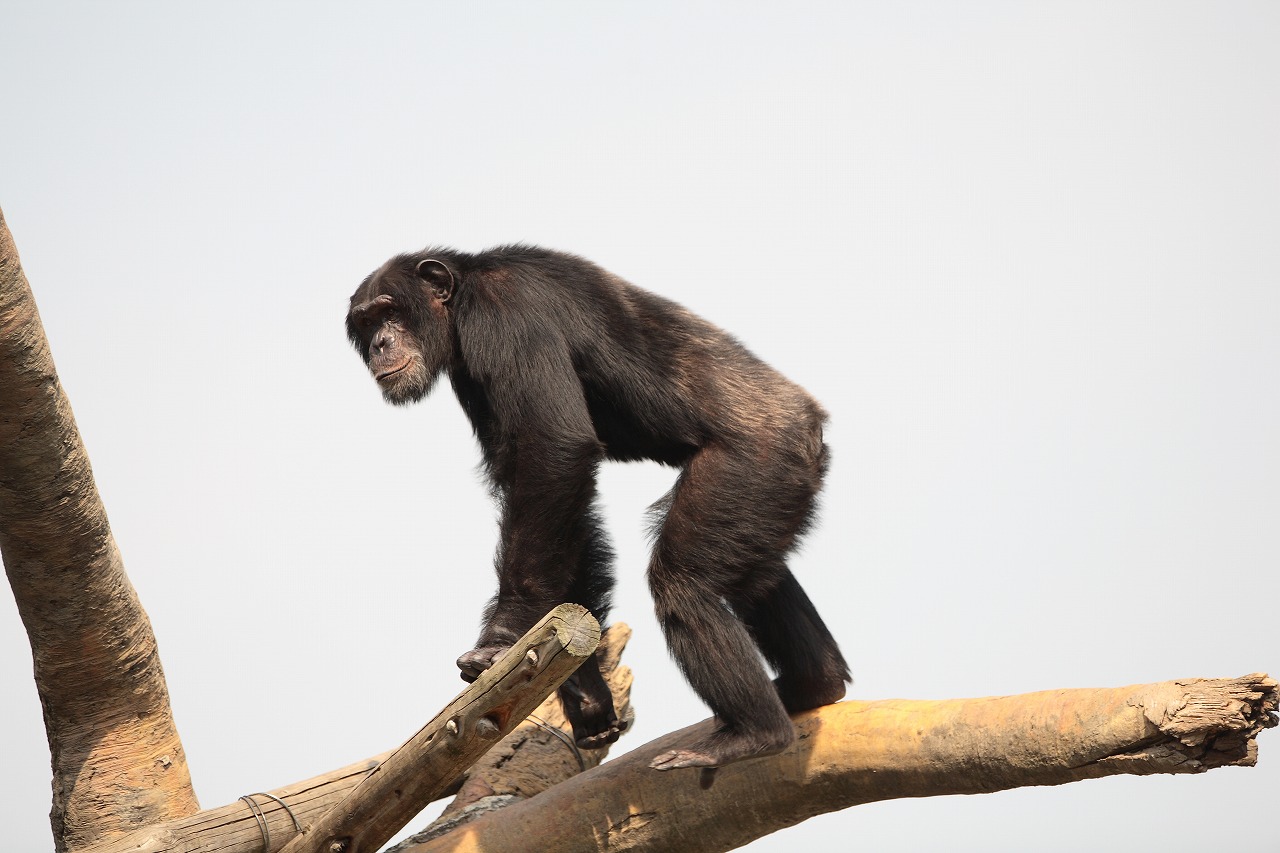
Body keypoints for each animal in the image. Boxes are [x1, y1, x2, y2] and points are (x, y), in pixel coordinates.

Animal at [350, 242, 849, 768]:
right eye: (366, 322)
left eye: (390, 311)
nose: (380, 343)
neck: (463, 296)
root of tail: (813, 426)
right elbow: (544, 492)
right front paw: (585, 694)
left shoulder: (507, 312)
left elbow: (554, 451)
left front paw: (501, 640)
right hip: (776, 491)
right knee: (757, 575)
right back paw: (814, 683)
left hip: (755, 465)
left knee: (685, 585)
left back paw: (754, 733)